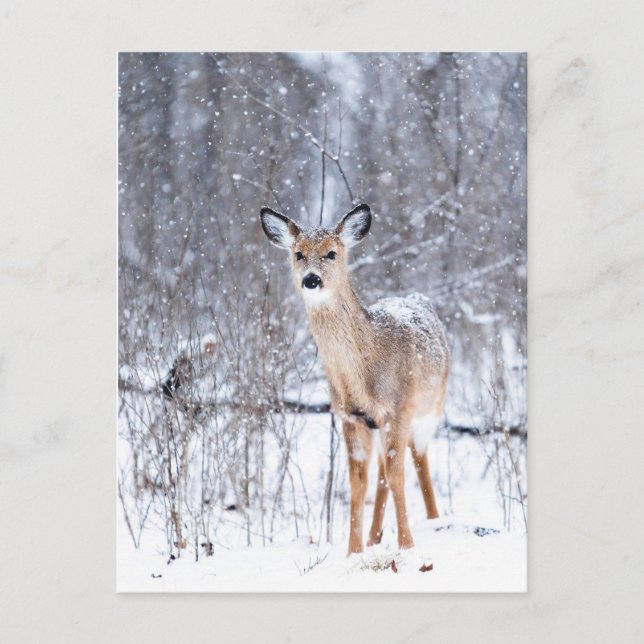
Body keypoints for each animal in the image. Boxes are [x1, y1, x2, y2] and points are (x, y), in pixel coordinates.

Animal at [260, 204, 450, 555]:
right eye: (298, 253)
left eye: (331, 253)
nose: (311, 279)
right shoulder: (351, 416)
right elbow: (358, 483)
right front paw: (353, 551)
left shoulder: (398, 408)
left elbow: (398, 475)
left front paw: (407, 545)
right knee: (382, 472)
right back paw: (375, 537)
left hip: (431, 407)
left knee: (418, 459)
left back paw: (434, 520)